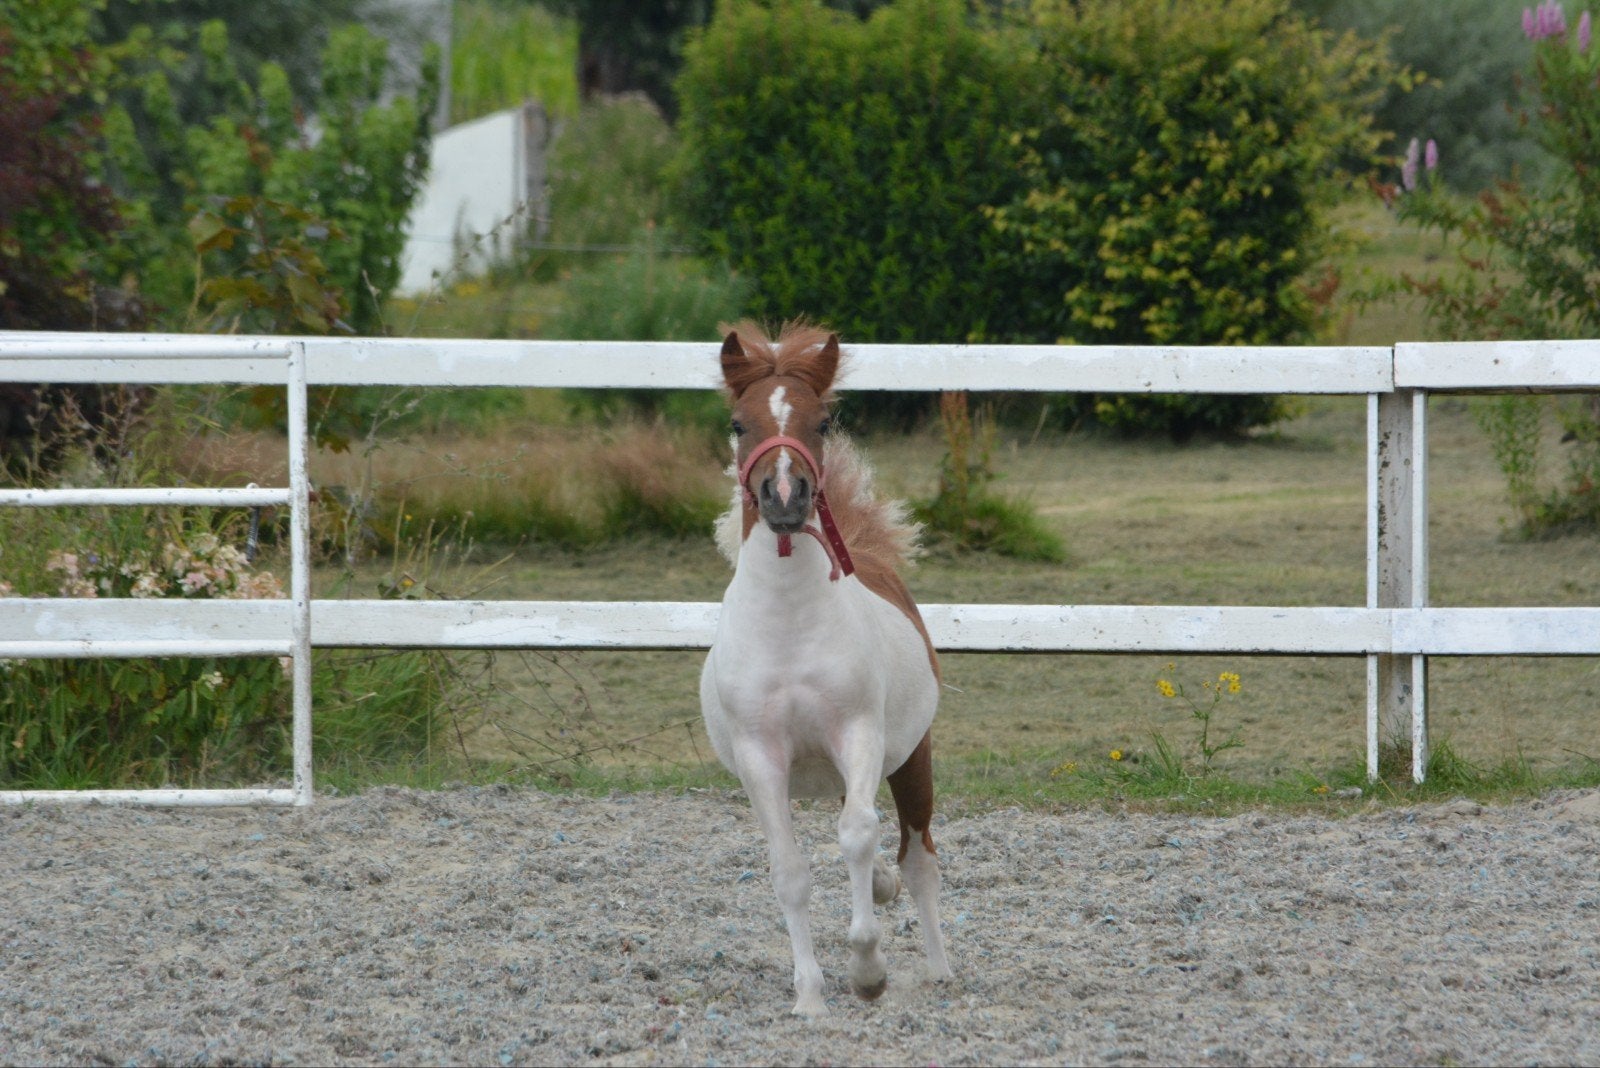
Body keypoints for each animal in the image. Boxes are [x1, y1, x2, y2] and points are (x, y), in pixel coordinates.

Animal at [699, 320, 952, 1016]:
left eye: (823, 421)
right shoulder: (762, 758)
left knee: (917, 858)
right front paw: (809, 997)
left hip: (912, 755)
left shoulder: (858, 734)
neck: (789, 627)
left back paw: (940, 968)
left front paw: (868, 971)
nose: (786, 499)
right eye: (738, 422)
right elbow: (790, 872)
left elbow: (857, 835)